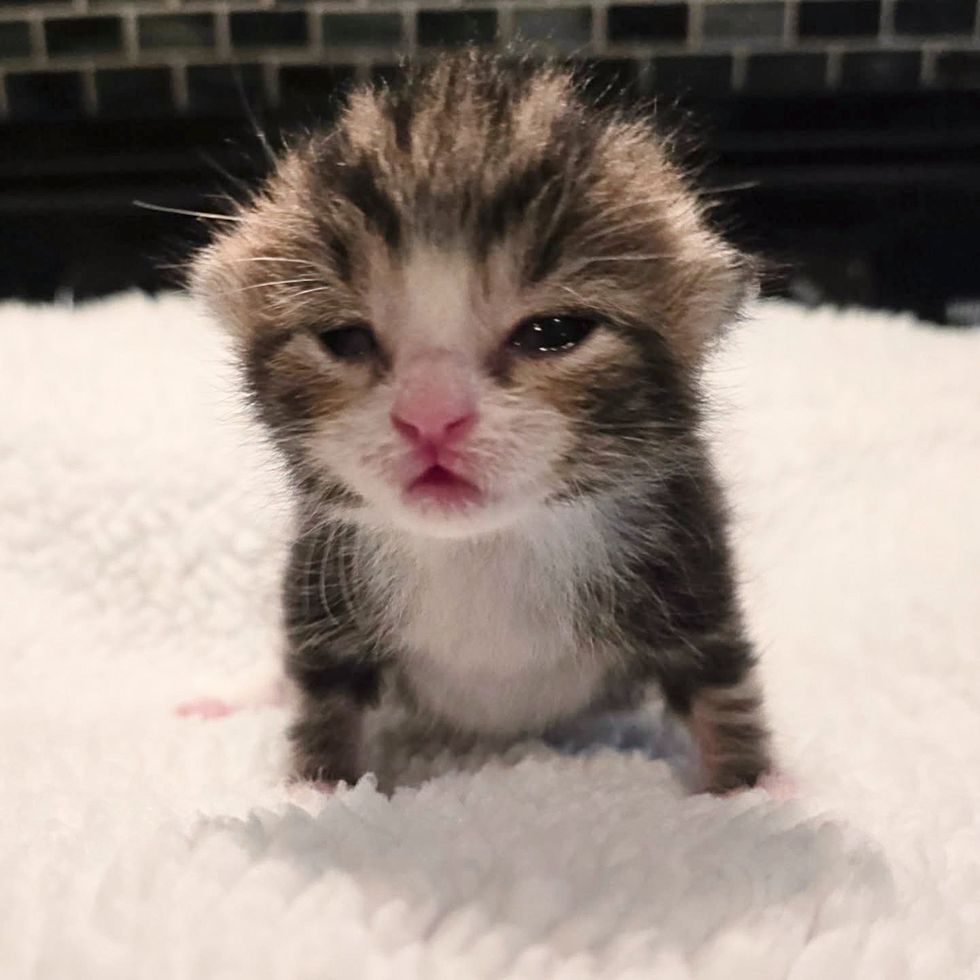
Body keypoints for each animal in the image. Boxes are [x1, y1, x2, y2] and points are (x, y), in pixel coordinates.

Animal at [191, 49, 772, 792]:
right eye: (344, 339)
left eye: (553, 333)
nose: (431, 417)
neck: (483, 548)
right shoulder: (323, 583)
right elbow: (321, 695)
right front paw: (320, 793)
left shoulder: (689, 562)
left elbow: (724, 686)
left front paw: (755, 792)